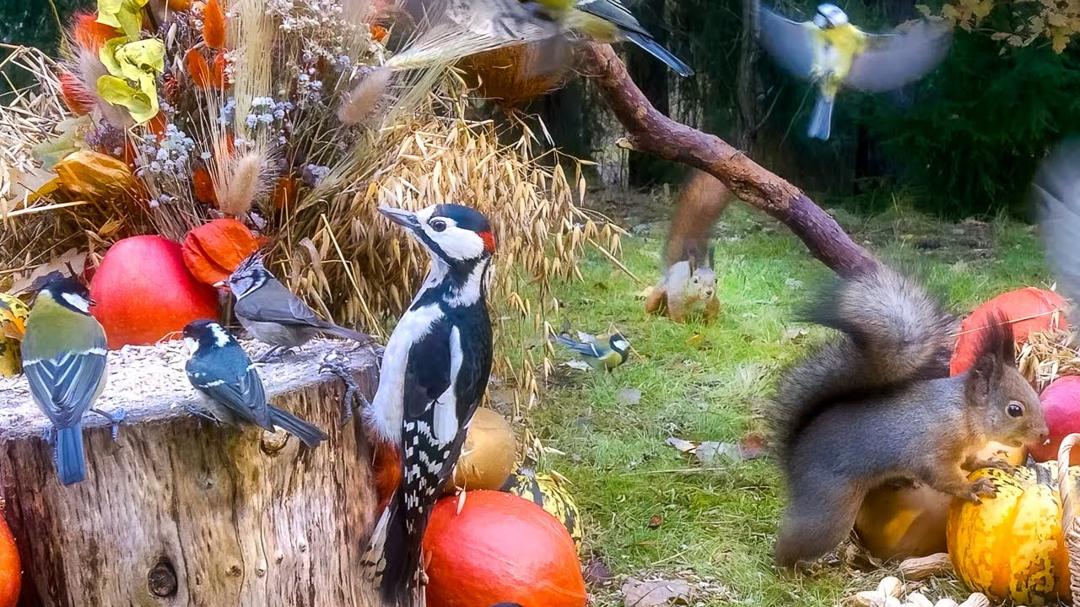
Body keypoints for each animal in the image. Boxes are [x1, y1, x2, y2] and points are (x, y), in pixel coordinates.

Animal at [771, 266, 1049, 569]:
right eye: (1014, 409)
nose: (1044, 434)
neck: (964, 412)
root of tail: (792, 455)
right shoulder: (935, 447)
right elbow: (943, 477)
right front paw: (971, 486)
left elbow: (971, 461)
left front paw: (991, 462)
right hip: (830, 505)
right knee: (794, 543)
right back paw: (791, 566)